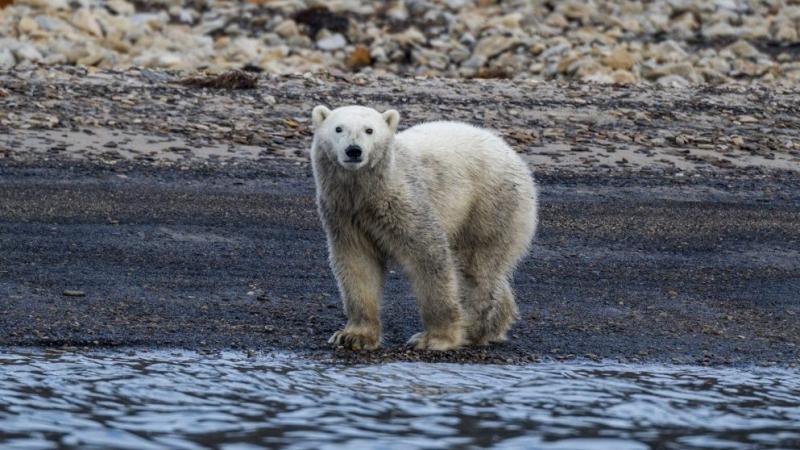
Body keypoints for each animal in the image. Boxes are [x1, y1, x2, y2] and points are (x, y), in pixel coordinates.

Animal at [310, 105, 536, 352]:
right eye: (338, 128)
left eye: (369, 130)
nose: (354, 151)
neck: (367, 192)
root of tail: (514, 156)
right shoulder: (345, 215)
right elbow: (357, 264)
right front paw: (353, 336)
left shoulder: (405, 203)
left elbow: (428, 257)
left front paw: (435, 338)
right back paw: (494, 325)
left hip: (490, 204)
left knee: (476, 268)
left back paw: (472, 328)